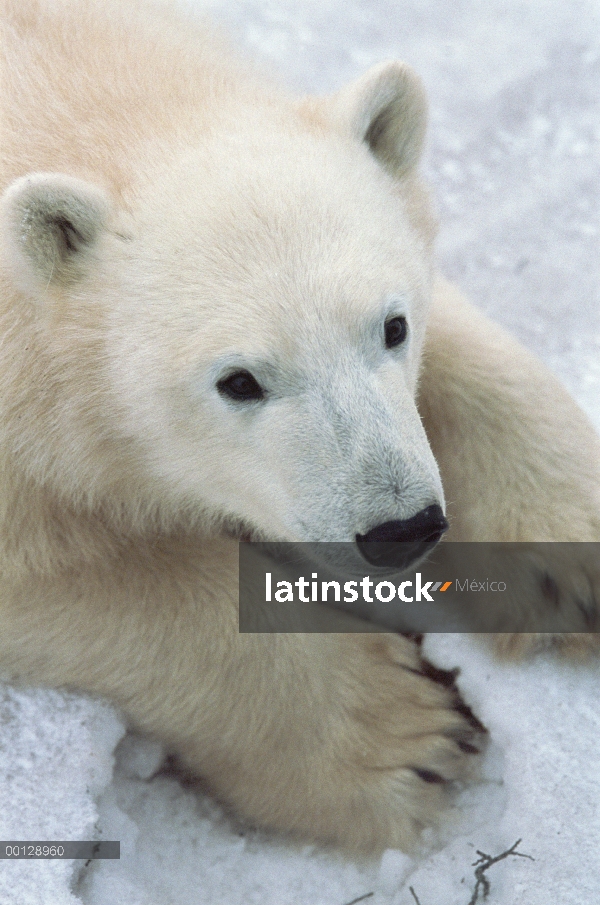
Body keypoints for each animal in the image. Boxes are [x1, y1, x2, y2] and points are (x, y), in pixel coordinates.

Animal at [1, 0, 600, 856]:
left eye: (392, 325)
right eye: (238, 381)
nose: (401, 528)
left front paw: (564, 556)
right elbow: (92, 576)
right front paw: (409, 739)